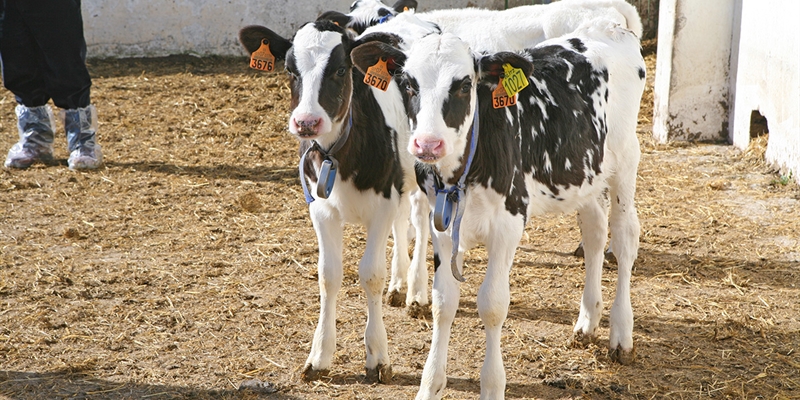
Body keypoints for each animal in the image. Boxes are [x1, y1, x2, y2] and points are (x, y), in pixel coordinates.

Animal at [238, 19, 428, 384]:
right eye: (289, 69)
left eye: (341, 69)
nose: (307, 122)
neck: (339, 155)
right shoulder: (321, 208)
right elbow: (328, 275)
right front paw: (320, 356)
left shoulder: (382, 204)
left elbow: (371, 274)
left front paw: (378, 357)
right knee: (402, 223)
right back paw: (399, 285)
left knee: (423, 224)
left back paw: (416, 292)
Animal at [354, 18, 648, 396]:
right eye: (407, 83)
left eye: (465, 85)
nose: (428, 144)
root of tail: (609, 26)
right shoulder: (442, 226)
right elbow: (444, 303)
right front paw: (430, 385)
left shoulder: (509, 224)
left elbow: (492, 305)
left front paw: (492, 386)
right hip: (585, 175)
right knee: (595, 232)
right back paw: (587, 321)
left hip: (625, 162)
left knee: (624, 240)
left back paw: (621, 335)